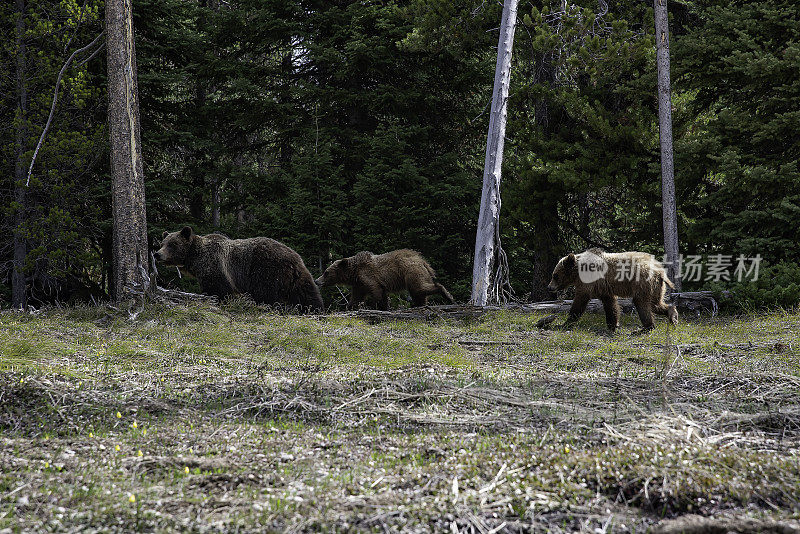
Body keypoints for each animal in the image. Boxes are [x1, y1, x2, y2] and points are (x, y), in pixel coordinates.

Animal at [154, 227, 322, 312]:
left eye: (173, 244)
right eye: (163, 243)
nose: (157, 254)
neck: (195, 257)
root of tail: (294, 259)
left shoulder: (216, 268)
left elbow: (218, 290)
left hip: (265, 270)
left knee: (264, 294)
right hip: (298, 276)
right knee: (307, 293)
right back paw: (315, 310)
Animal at [314, 252, 454, 312]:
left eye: (326, 272)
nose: (316, 281)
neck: (354, 272)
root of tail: (423, 261)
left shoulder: (369, 277)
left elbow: (376, 292)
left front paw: (378, 307)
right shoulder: (359, 284)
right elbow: (357, 297)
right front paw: (350, 307)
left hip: (411, 272)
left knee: (419, 288)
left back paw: (448, 296)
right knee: (418, 293)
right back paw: (419, 305)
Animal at [552, 249, 680, 332]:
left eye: (555, 275)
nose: (550, 287)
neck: (578, 272)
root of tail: (660, 271)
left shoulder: (589, 282)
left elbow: (580, 300)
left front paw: (565, 323)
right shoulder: (604, 288)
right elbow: (610, 305)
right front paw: (613, 325)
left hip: (642, 282)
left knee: (642, 303)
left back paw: (646, 327)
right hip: (656, 287)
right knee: (655, 304)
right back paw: (672, 315)